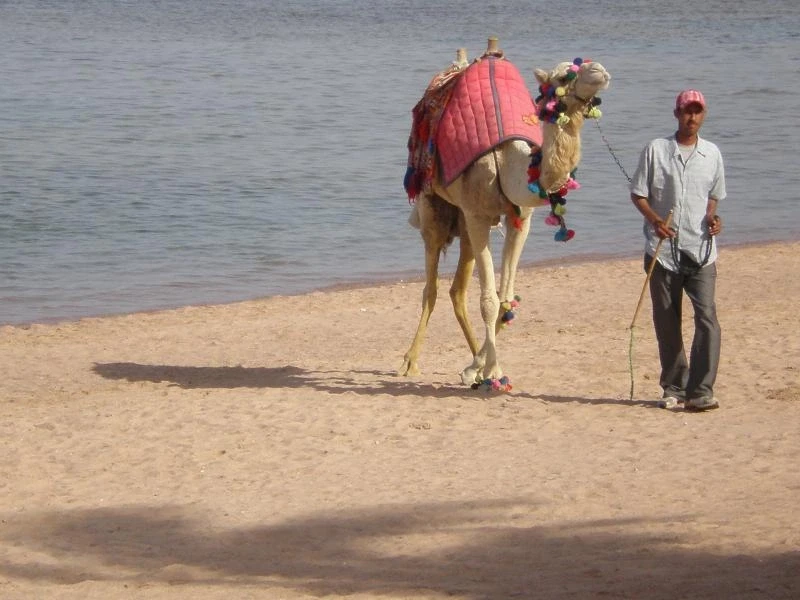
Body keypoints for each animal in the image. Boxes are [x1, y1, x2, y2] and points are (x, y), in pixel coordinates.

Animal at [399, 38, 611, 390]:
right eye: (563, 76)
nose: (601, 70)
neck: (508, 160)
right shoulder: (477, 215)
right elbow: (487, 300)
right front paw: (492, 372)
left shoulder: (521, 219)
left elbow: (505, 297)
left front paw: (478, 369)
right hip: (434, 208)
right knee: (431, 287)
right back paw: (409, 362)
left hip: (463, 222)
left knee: (457, 290)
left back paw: (471, 358)